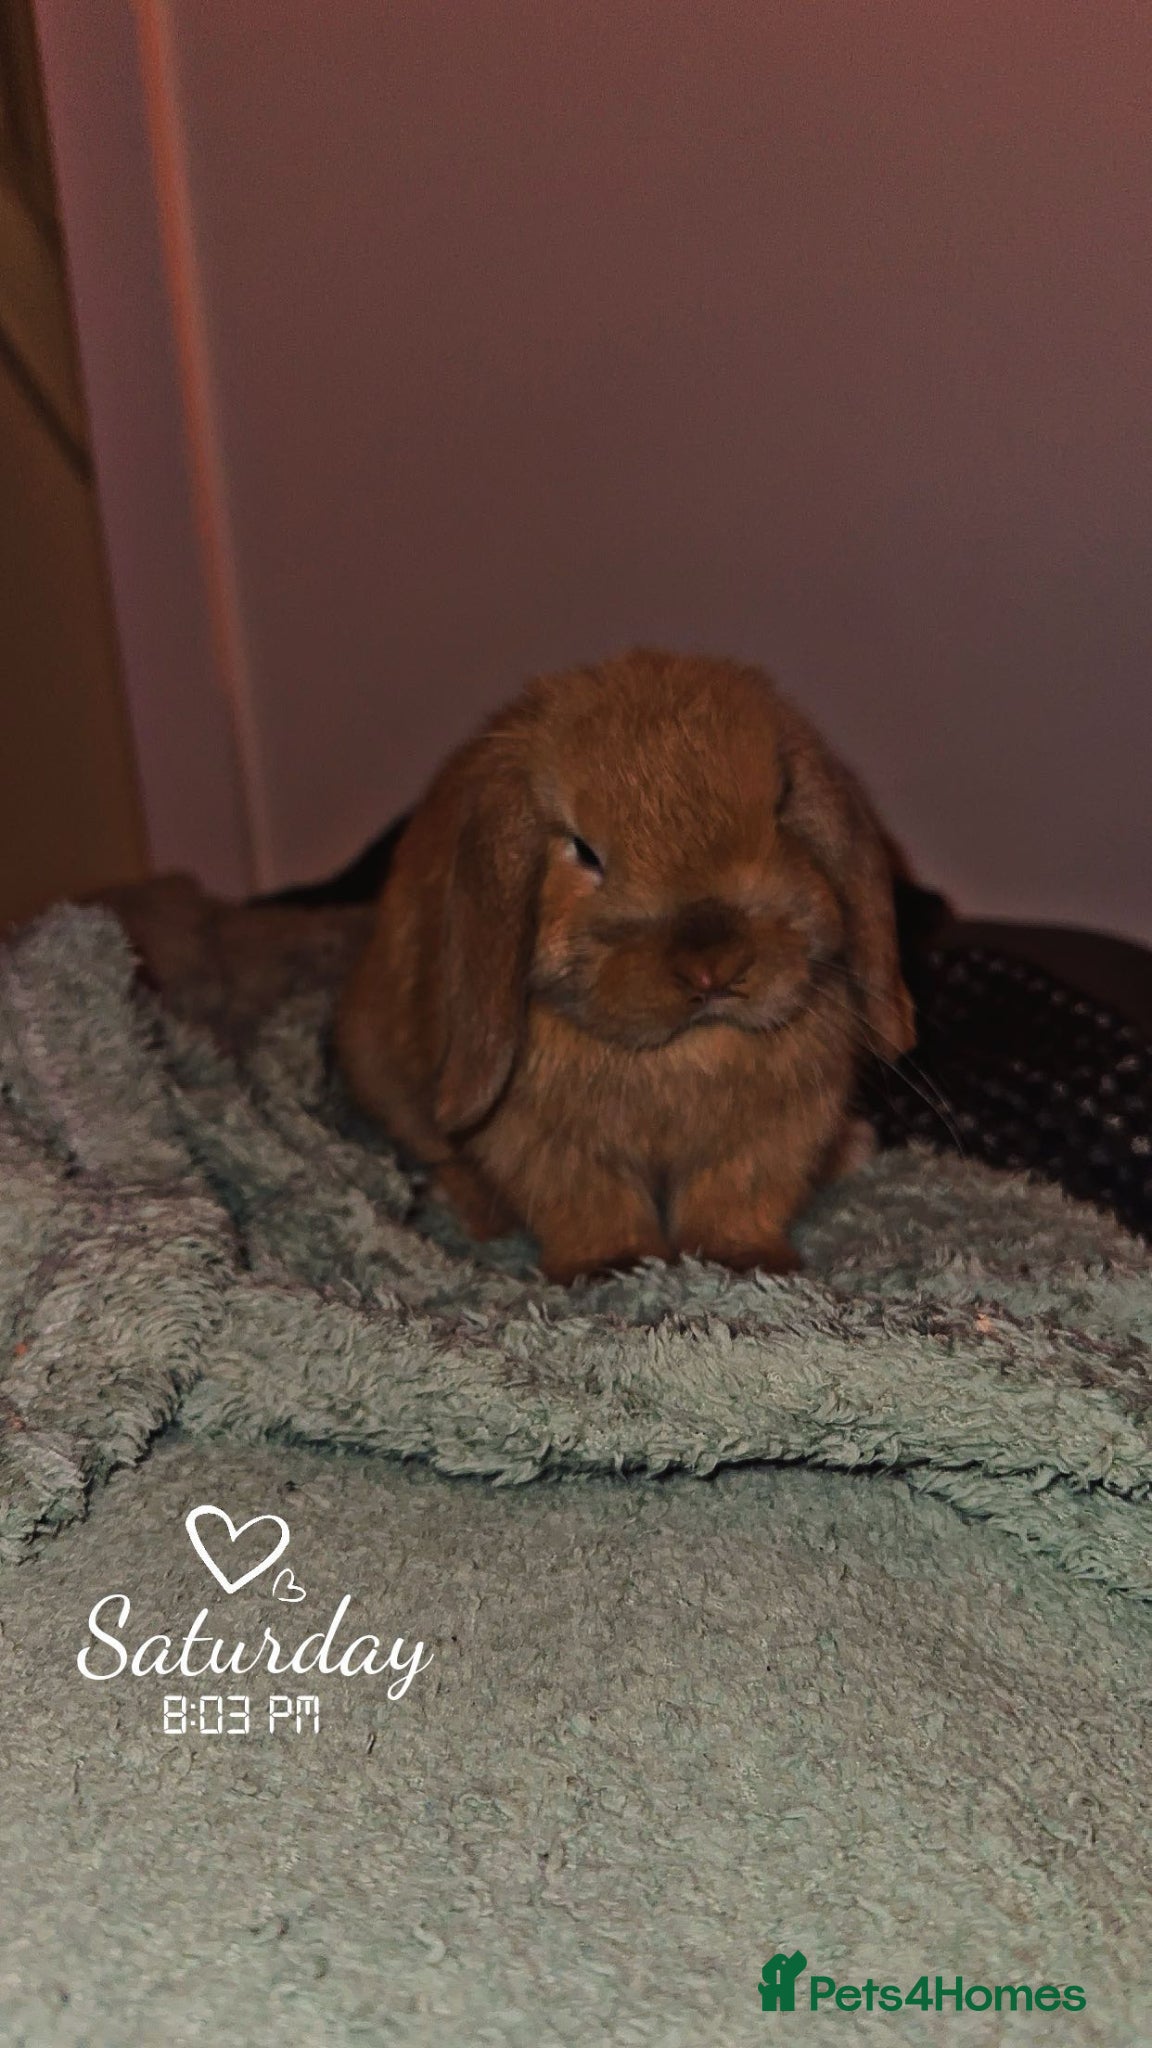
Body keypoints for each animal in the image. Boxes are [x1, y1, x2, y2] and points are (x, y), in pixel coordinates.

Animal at [336, 649, 915, 1283]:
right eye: (584, 851)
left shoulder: (769, 1139)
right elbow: (593, 1203)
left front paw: (742, 1261)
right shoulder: (545, 1146)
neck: (684, 1053)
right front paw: (614, 1265)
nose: (713, 965)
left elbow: (733, 1198)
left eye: (781, 808)